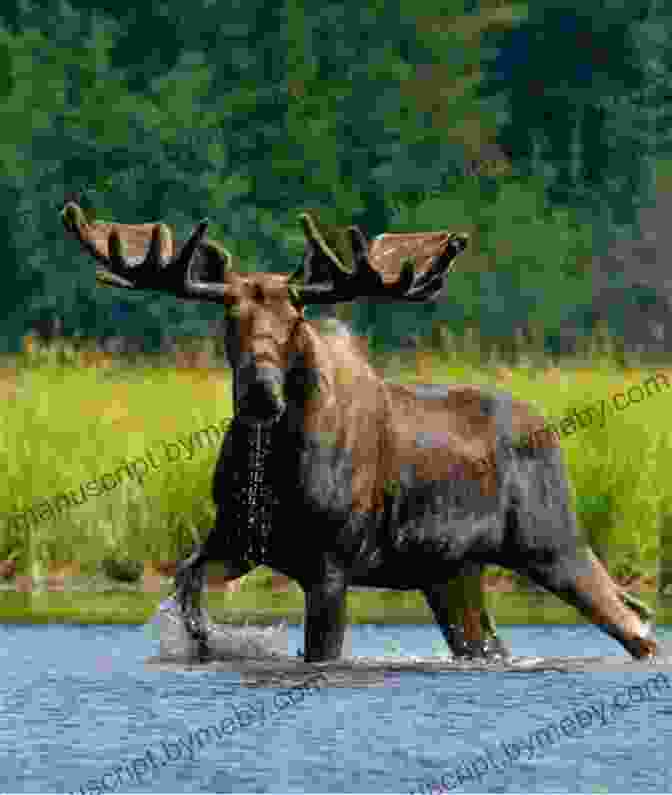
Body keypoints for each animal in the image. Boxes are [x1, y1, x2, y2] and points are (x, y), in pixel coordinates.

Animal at [60, 201, 660, 664]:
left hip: (552, 541)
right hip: (452, 571)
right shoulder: (232, 540)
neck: (276, 460)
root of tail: (551, 430)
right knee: (491, 644)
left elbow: (321, 651)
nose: (260, 394)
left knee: (634, 622)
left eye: (296, 320)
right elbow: (188, 597)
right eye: (230, 316)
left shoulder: (330, 563)